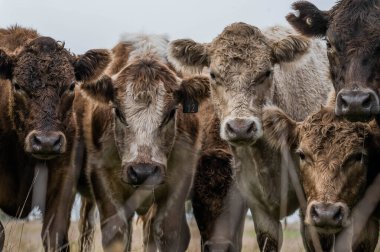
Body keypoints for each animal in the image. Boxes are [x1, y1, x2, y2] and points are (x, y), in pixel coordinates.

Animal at [76, 34, 246, 252]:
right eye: (118, 112)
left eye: (171, 112)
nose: (143, 171)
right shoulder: (103, 182)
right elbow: (116, 235)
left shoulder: (178, 183)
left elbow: (168, 233)